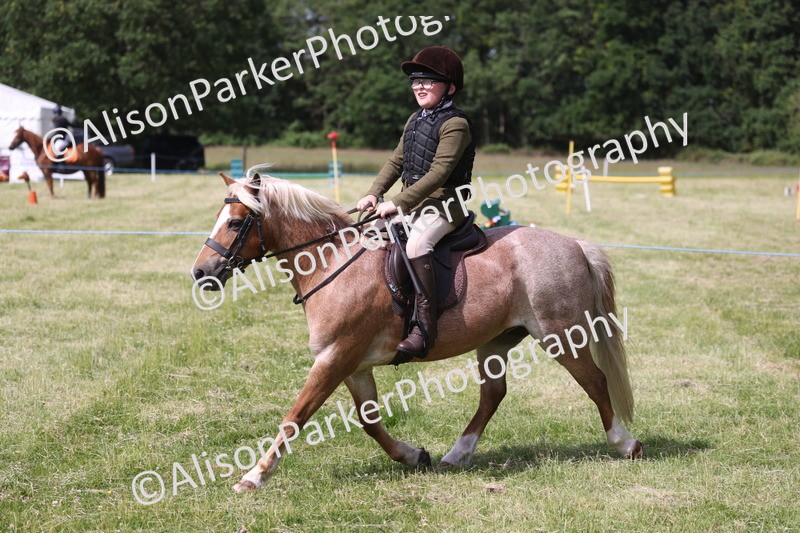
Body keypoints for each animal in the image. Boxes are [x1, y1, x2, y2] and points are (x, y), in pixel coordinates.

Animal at [190, 172, 643, 492]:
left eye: (235, 222)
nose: (201, 273)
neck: (332, 263)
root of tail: (574, 244)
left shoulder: (334, 358)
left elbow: (294, 418)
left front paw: (253, 476)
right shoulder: (352, 364)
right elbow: (369, 420)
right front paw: (412, 455)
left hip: (561, 334)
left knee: (595, 381)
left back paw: (624, 443)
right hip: (495, 342)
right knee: (493, 395)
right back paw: (456, 454)